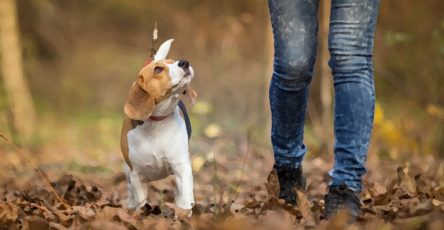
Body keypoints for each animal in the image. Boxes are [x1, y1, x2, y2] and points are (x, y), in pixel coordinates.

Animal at [121, 39, 198, 210]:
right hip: (128, 171)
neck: (155, 125)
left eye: (174, 61)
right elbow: (141, 201)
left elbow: (185, 198)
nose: (184, 62)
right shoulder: (137, 175)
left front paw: (185, 212)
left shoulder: (181, 167)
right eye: (157, 69)